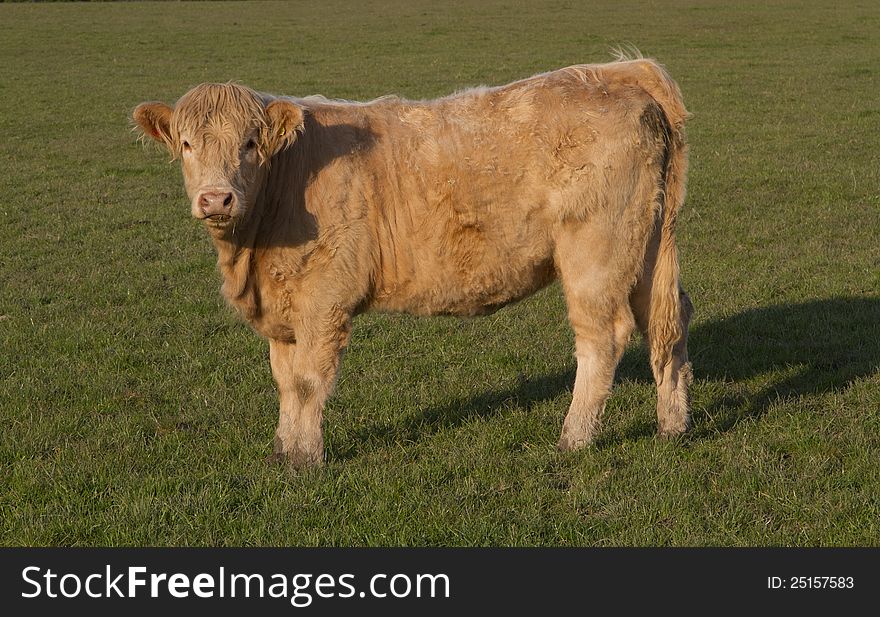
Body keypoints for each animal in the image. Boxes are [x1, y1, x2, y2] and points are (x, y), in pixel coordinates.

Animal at [132, 57, 696, 470]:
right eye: (187, 144)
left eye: (250, 144)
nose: (216, 198)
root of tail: (617, 75)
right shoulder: (284, 306)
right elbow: (285, 381)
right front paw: (283, 450)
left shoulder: (323, 299)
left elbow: (308, 381)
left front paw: (306, 459)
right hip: (646, 249)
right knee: (667, 320)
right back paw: (673, 425)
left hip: (596, 252)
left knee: (603, 337)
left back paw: (573, 439)